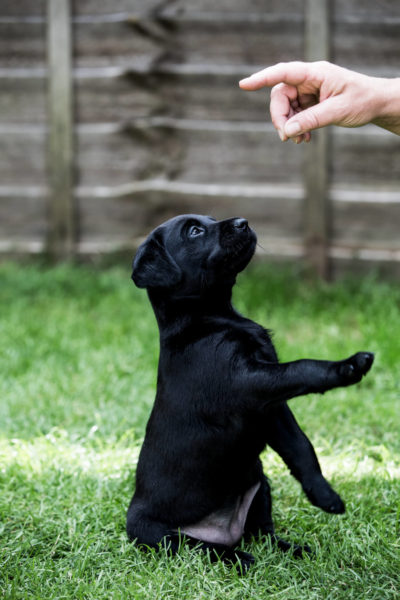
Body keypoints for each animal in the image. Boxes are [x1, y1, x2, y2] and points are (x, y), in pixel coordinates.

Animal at [126, 216, 374, 572]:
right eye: (194, 231)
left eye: (211, 219)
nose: (243, 222)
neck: (211, 318)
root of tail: (222, 532)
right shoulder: (252, 384)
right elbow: (303, 368)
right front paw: (347, 367)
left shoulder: (271, 410)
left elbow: (301, 447)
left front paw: (323, 495)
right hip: (156, 533)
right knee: (198, 548)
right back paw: (237, 557)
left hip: (260, 487)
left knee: (262, 534)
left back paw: (291, 549)